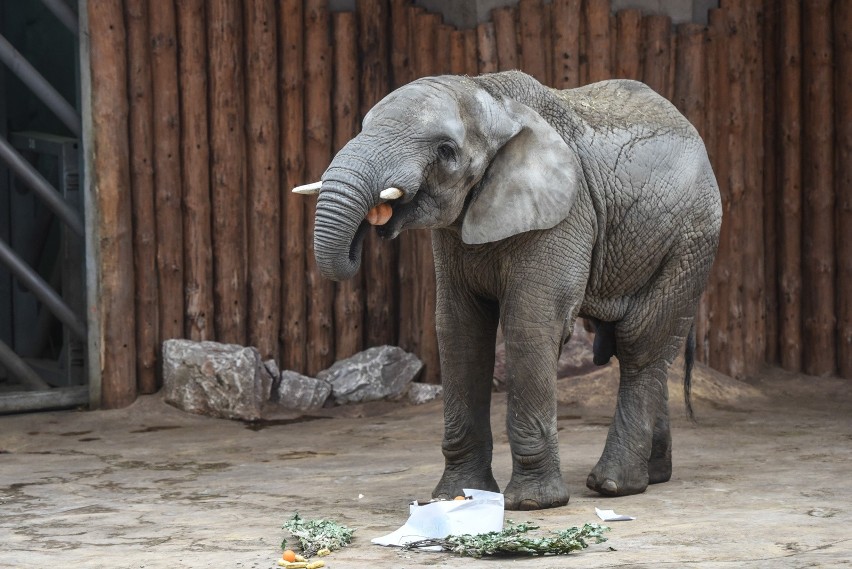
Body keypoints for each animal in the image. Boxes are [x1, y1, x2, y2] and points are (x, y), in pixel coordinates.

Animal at [296, 70, 724, 510]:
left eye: (445, 151)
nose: (373, 225)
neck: (491, 97)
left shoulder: (564, 213)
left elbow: (529, 323)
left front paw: (534, 503)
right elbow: (459, 330)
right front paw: (455, 497)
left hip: (691, 240)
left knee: (641, 345)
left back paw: (613, 485)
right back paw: (654, 477)